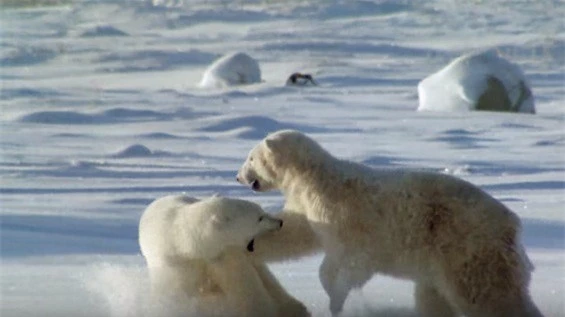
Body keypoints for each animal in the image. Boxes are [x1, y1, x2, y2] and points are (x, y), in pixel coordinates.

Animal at [235, 129, 540, 316]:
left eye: (250, 157)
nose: (238, 177)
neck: (313, 177)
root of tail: (513, 225)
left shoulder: (349, 217)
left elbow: (353, 261)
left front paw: (334, 295)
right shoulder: (307, 204)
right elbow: (295, 230)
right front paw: (253, 241)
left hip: (469, 249)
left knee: (489, 295)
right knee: (433, 295)